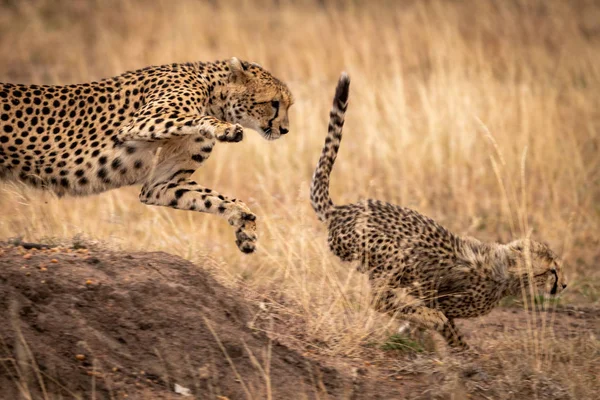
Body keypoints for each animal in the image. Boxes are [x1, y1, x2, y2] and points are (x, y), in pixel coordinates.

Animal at [0, 57, 294, 253]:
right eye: (274, 103)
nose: (285, 129)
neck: (212, 92)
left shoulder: (161, 183)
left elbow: (220, 199)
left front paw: (245, 226)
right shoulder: (141, 123)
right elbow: (198, 118)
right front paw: (225, 129)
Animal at [312, 72, 568, 350]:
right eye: (552, 270)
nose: (564, 285)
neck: (504, 272)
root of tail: (340, 210)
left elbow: (433, 325)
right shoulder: (439, 298)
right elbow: (444, 324)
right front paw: (454, 344)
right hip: (395, 254)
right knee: (380, 300)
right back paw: (429, 318)